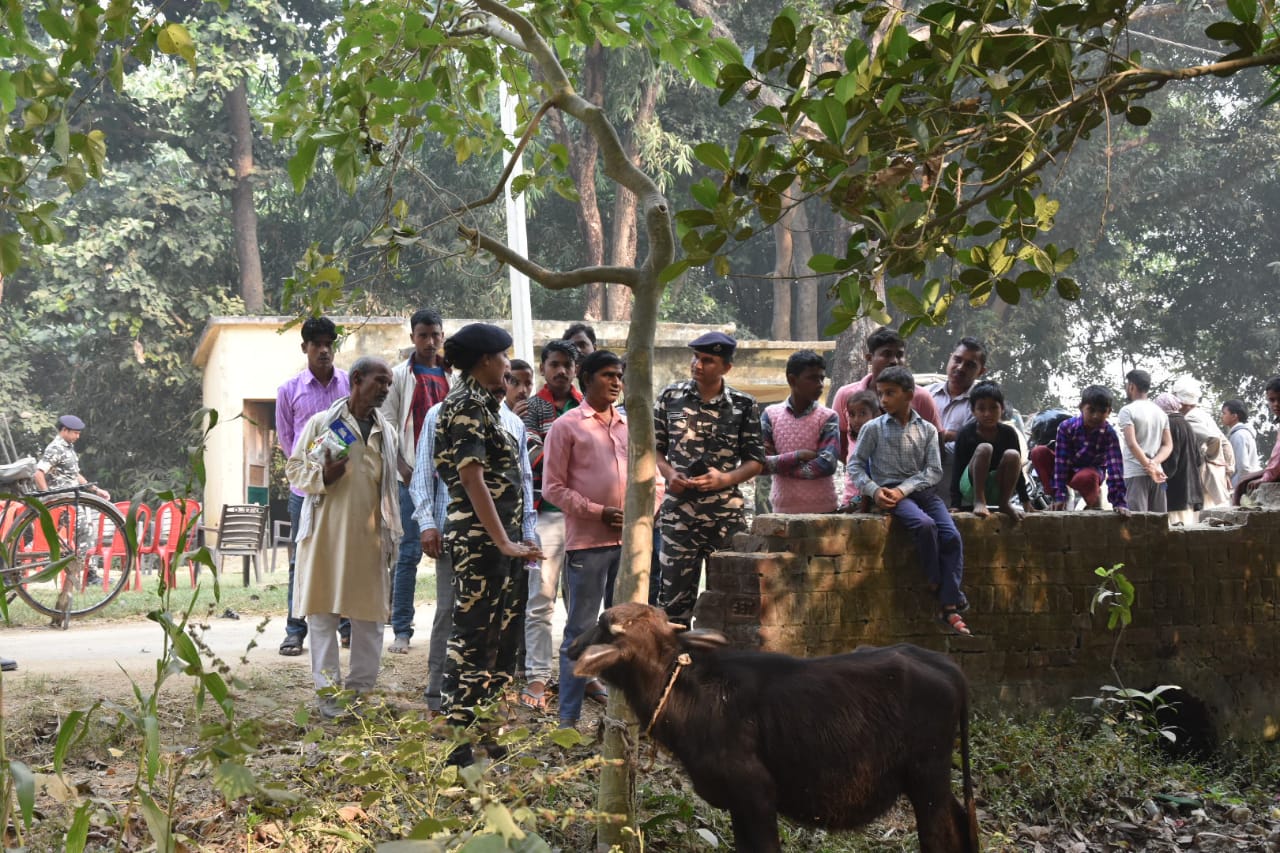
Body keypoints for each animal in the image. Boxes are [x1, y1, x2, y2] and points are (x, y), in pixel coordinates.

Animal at [570, 601, 977, 845]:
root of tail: (947, 665)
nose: (572, 645)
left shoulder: (757, 797)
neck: (696, 694)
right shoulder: (737, 805)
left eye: (602, 625)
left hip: (927, 780)